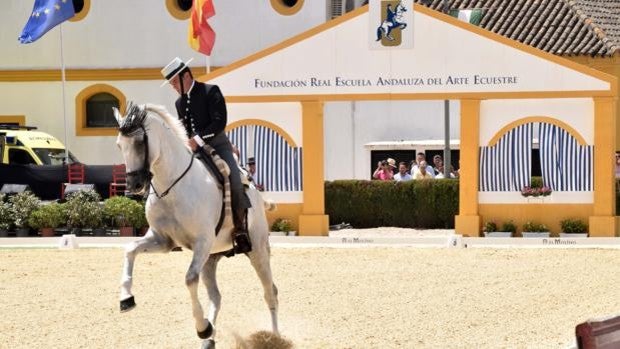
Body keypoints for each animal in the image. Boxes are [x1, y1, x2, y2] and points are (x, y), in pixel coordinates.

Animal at [115, 104, 280, 348]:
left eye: (139, 142)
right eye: (119, 144)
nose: (133, 185)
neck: (172, 187)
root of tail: (258, 196)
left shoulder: (202, 241)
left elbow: (189, 279)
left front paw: (201, 327)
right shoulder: (162, 240)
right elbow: (130, 249)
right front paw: (126, 297)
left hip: (257, 251)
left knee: (270, 292)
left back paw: (275, 336)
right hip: (210, 259)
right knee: (216, 297)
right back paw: (209, 337)